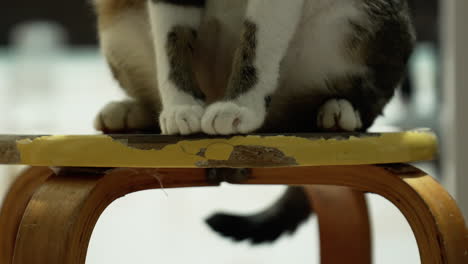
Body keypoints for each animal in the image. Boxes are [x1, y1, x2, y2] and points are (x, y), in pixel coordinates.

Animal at [91, 0, 414, 243]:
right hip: (115, 15)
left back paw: (339, 110)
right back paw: (128, 111)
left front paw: (239, 106)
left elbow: (257, 42)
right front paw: (180, 106)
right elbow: (172, 42)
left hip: (364, 22)